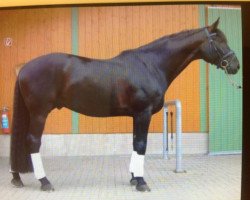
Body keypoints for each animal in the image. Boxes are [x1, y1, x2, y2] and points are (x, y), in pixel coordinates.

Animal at [10, 19, 240, 192]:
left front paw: (133, 177)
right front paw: (141, 182)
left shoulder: (136, 115)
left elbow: (135, 143)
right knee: (32, 142)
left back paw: (17, 178)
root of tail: (24, 68)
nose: (235, 65)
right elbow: (141, 145)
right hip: (39, 113)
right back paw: (45, 182)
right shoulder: (143, 113)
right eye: (219, 40)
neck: (151, 65)